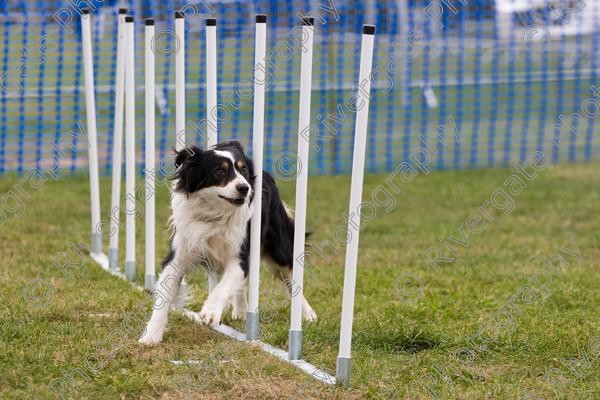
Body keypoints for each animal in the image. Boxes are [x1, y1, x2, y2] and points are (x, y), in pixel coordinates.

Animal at [139, 141, 318, 344]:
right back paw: (241, 311)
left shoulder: (240, 255)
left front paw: (210, 312)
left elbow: (224, 286)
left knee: (290, 277)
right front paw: (151, 335)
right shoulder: (179, 254)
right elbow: (164, 295)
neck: (214, 215)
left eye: (244, 170)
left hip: (278, 248)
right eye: (219, 172)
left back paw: (307, 314)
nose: (245, 188)